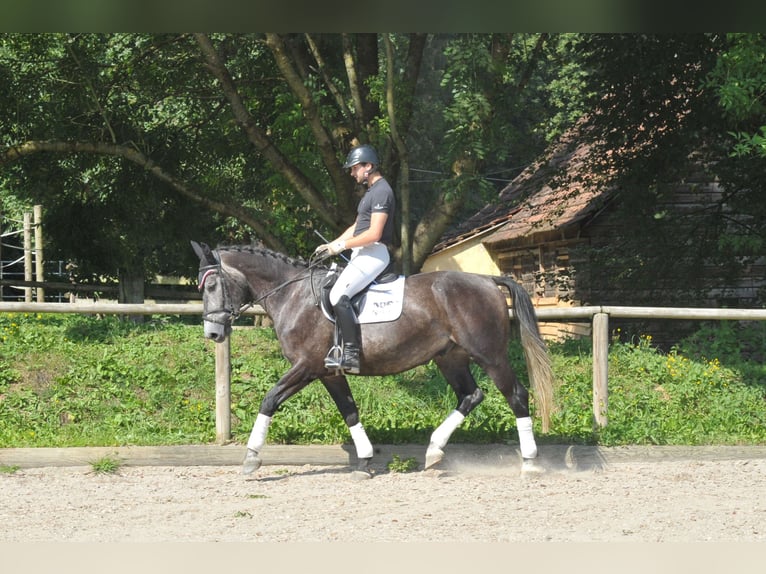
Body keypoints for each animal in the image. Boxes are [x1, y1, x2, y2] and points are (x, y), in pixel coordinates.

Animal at [190, 241, 552, 480]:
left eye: (212, 285)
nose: (213, 333)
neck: (293, 295)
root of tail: (487, 279)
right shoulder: (329, 373)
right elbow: (350, 412)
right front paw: (364, 462)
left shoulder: (306, 366)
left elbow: (269, 399)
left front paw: (251, 458)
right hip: (450, 358)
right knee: (471, 395)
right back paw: (434, 451)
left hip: (491, 356)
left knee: (516, 396)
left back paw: (531, 462)